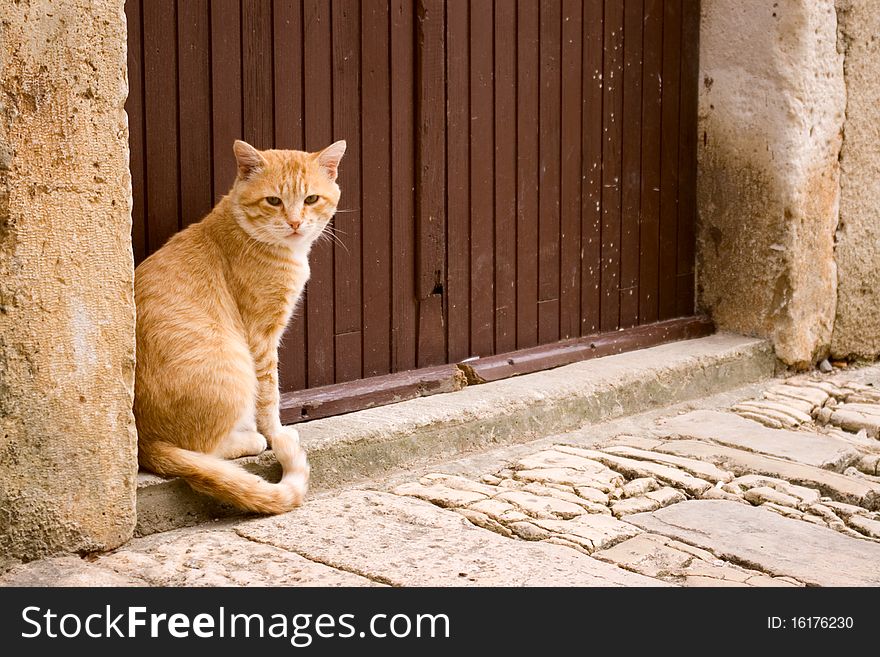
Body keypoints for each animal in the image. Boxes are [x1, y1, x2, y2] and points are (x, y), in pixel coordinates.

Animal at [136, 141, 346, 516]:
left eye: (311, 199)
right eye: (273, 201)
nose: (295, 222)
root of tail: (144, 443)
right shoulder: (261, 338)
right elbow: (269, 395)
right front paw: (276, 433)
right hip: (234, 366)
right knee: (205, 450)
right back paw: (253, 439)